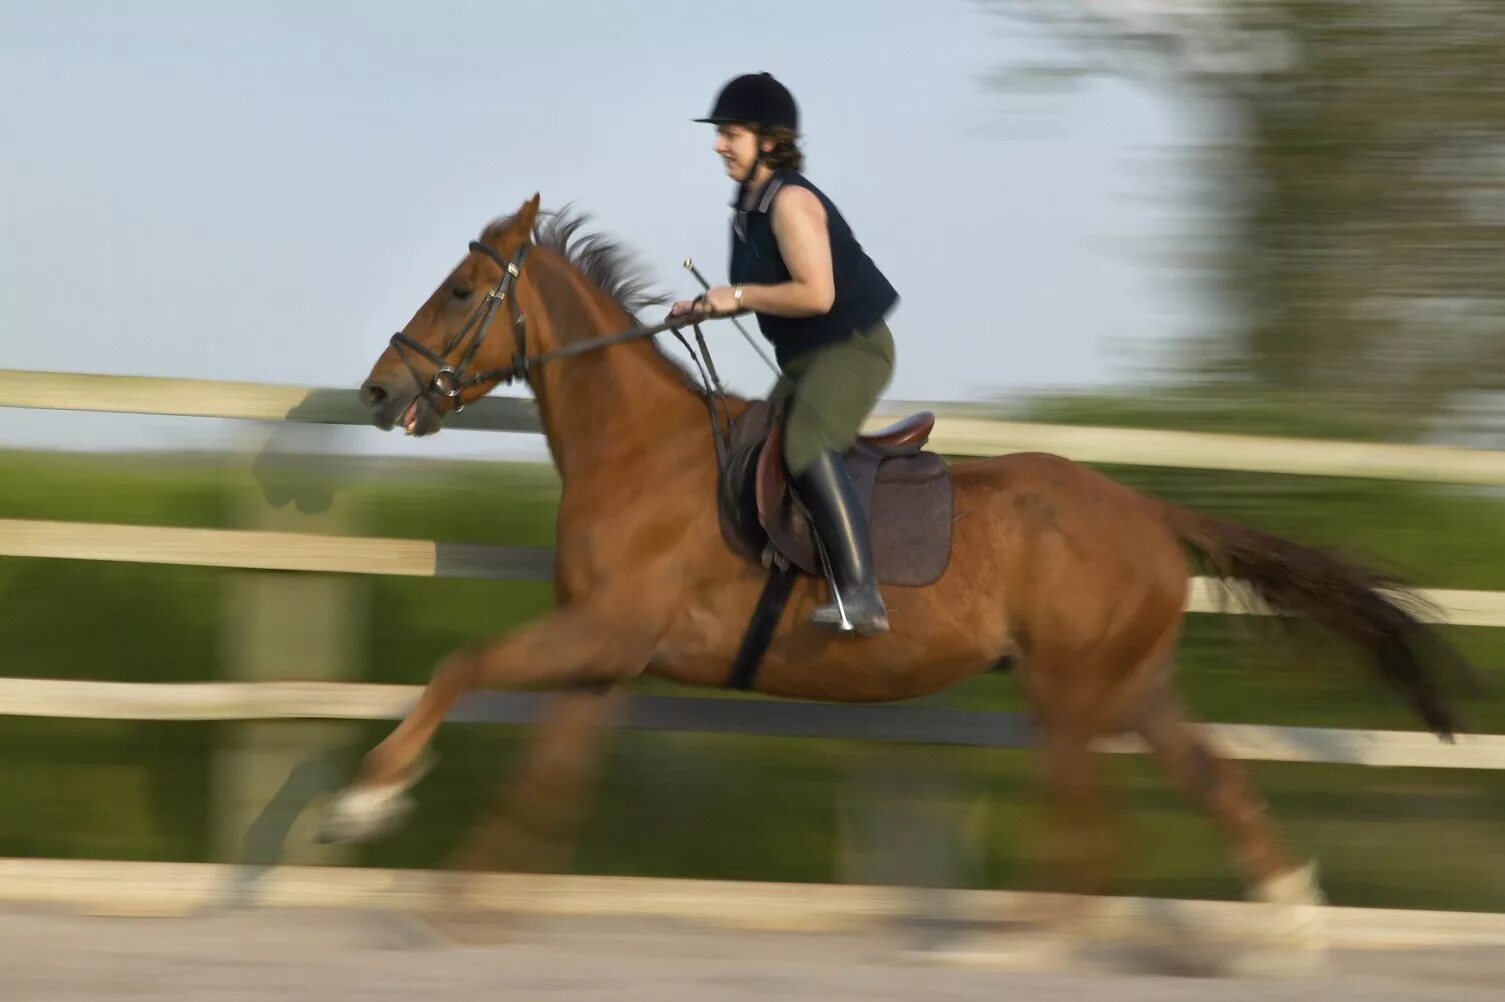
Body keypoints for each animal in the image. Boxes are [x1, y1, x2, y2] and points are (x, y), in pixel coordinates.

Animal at [326, 192, 1468, 950]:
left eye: (462, 291)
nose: (379, 391)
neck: (637, 451)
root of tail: (1149, 508)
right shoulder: (608, 655)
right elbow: (544, 770)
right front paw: (464, 898)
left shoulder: (604, 632)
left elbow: (463, 668)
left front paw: (365, 803)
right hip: (1129, 681)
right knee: (1210, 781)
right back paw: (1289, 923)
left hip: (1068, 688)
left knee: (1088, 824)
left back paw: (1016, 943)